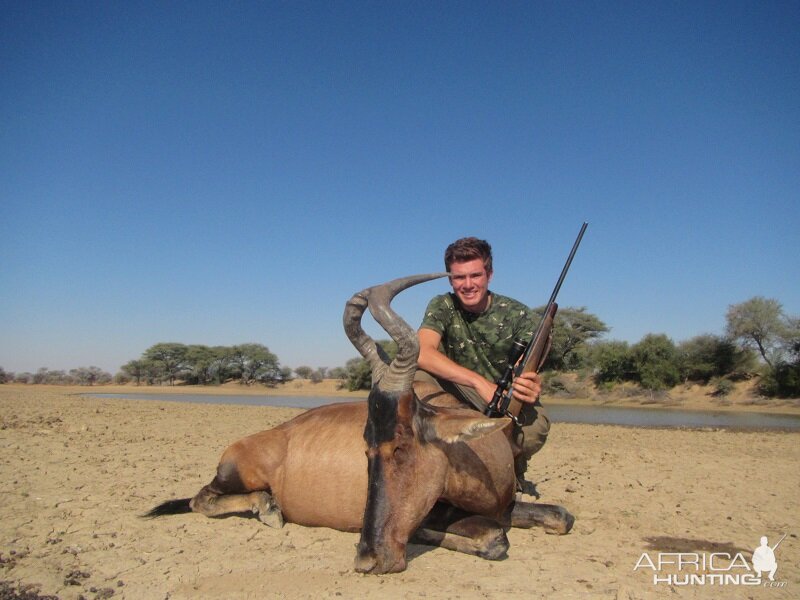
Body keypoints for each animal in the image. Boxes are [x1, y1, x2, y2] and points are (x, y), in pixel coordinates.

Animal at [142, 272, 568, 572]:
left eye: (400, 446)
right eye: (366, 450)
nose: (369, 559)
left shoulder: (506, 506)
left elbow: (560, 517)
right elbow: (495, 538)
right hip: (233, 476)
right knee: (200, 499)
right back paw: (268, 509)